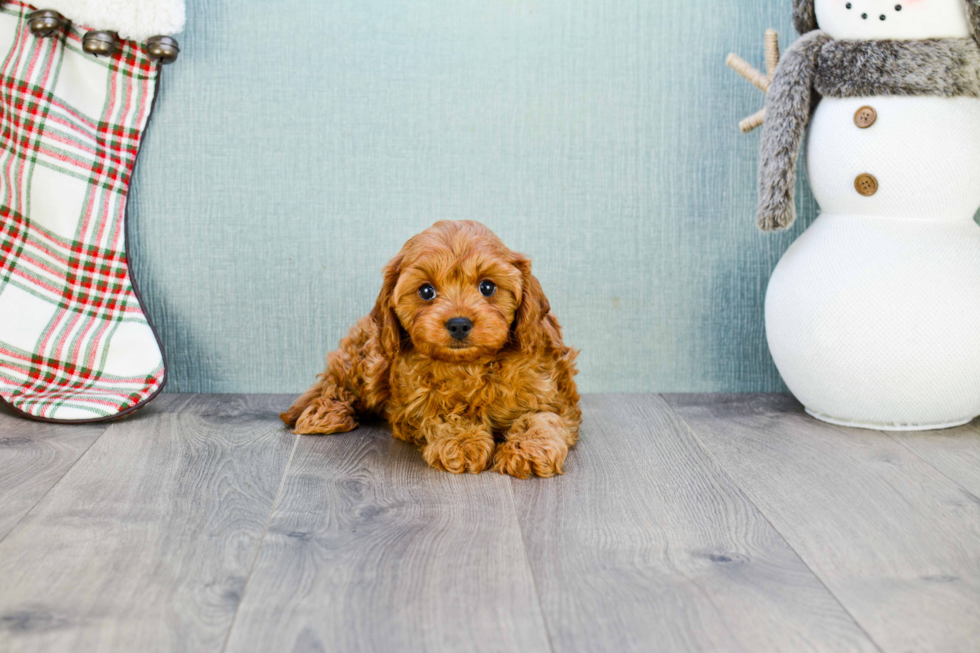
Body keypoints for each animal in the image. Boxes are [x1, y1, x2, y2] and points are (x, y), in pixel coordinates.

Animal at [280, 220, 580, 478]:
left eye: (487, 287)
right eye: (426, 291)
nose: (459, 324)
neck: (469, 365)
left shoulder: (553, 392)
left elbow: (542, 417)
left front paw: (529, 449)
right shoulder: (413, 404)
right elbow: (444, 414)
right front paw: (462, 441)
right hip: (369, 360)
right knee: (335, 382)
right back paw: (325, 413)